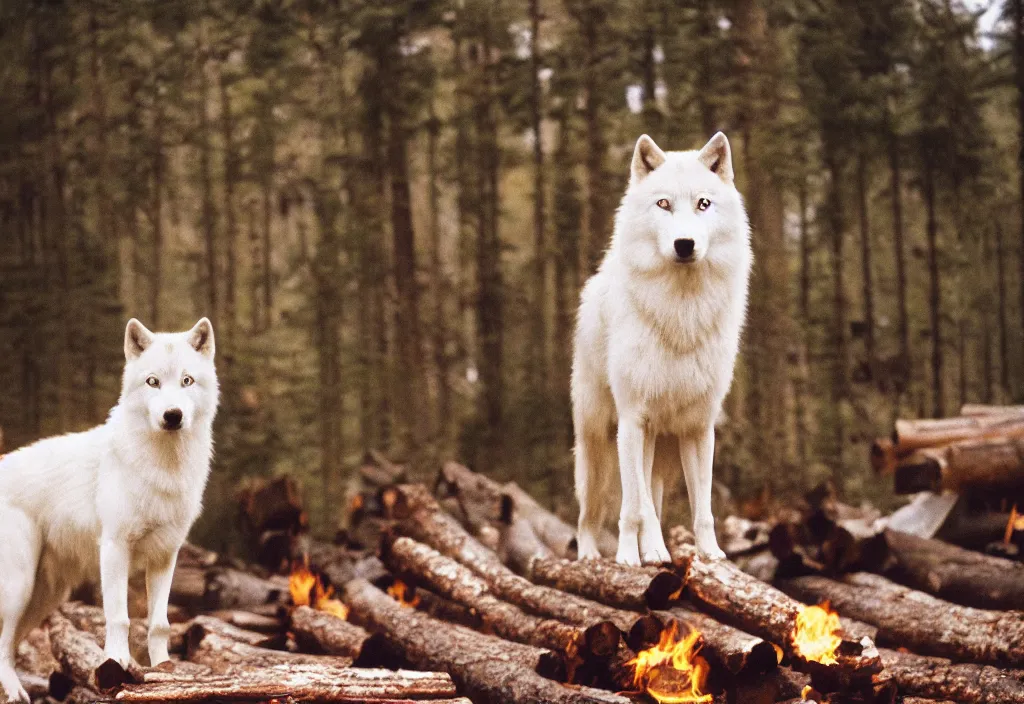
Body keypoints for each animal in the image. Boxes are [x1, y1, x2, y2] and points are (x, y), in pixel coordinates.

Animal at [0, 321, 218, 704]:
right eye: (152, 382)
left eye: (187, 381)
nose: (172, 416)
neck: (163, 466)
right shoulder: (115, 548)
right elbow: (120, 618)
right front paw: (117, 664)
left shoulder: (166, 557)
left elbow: (159, 624)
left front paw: (164, 671)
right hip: (18, 588)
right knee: (2, 647)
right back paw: (15, 691)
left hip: (42, 599)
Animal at [577, 132, 753, 564]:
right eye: (663, 204)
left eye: (703, 203)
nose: (684, 244)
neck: (682, 315)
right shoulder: (632, 422)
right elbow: (633, 509)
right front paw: (632, 557)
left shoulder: (699, 428)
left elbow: (703, 508)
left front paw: (710, 554)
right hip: (598, 445)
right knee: (592, 512)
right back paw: (592, 556)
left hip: (658, 449)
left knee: (651, 499)